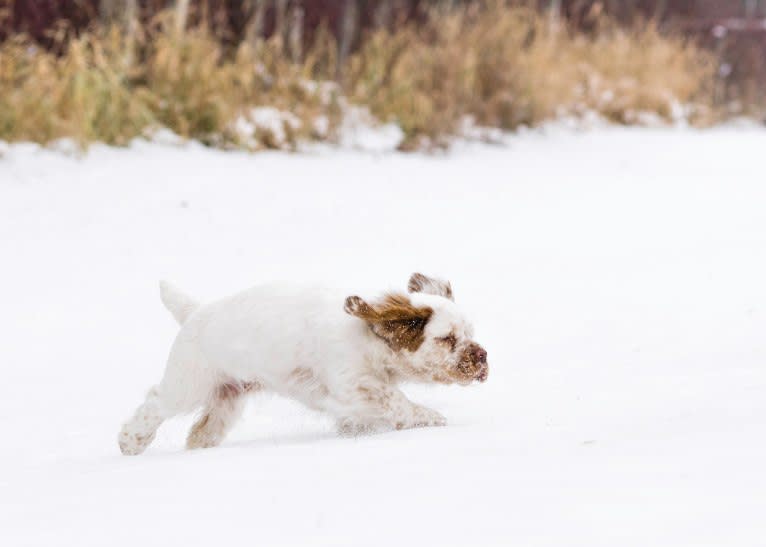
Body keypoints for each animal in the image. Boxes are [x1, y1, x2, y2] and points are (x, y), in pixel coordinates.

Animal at [120, 272, 492, 456]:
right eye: (447, 339)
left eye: (471, 334)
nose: (482, 356)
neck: (369, 336)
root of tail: (195, 311)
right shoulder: (353, 386)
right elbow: (398, 402)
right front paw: (433, 420)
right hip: (188, 384)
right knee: (155, 401)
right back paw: (131, 441)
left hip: (228, 398)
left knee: (202, 431)